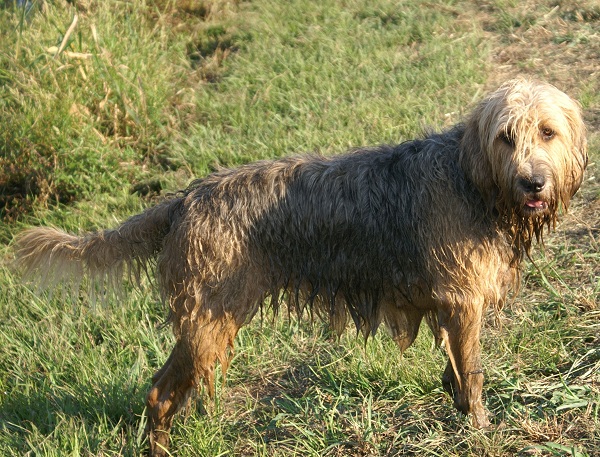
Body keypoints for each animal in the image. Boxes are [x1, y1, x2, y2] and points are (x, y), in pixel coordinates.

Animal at [14, 77, 584, 452]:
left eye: (547, 132)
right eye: (505, 136)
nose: (533, 183)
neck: (472, 179)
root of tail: (185, 198)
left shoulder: (451, 304)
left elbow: (457, 370)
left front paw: (462, 407)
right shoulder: (464, 301)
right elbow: (474, 372)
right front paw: (481, 427)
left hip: (208, 322)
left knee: (167, 391)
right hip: (210, 321)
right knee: (159, 392)